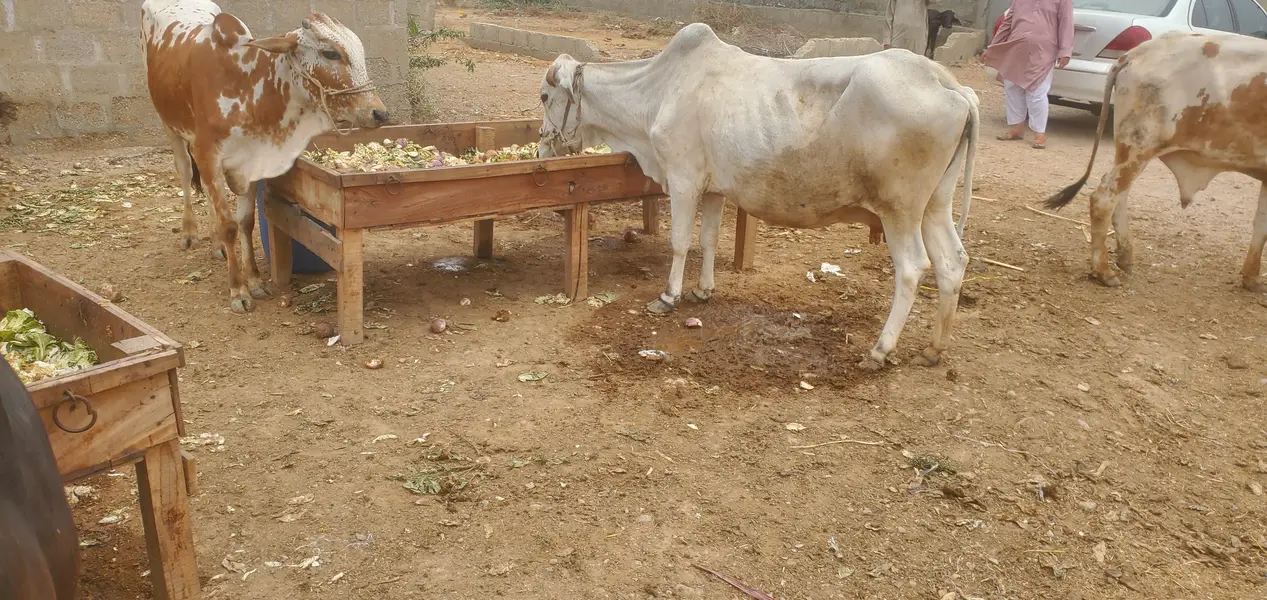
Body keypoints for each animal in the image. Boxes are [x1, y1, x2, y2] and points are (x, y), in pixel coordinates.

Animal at [141, 0, 388, 313]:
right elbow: (229, 225)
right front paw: (238, 290)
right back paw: (189, 234)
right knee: (185, 173)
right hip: (170, 126)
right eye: (330, 53)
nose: (378, 113)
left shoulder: (250, 163)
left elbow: (245, 223)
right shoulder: (208, 155)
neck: (248, 87)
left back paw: (216, 245)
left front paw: (255, 281)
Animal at [537, 23, 980, 369]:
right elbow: (707, 240)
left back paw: (880, 350)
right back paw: (933, 349)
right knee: (952, 262)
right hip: (935, 205)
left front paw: (668, 296)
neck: (658, 92)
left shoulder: (682, 179)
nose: (541, 147)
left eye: (544, 97)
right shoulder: (712, 189)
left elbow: (680, 242)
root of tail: (951, 85)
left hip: (900, 209)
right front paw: (703, 290)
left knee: (912, 268)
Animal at [1044, 31, 1267, 293]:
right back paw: (1103, 271)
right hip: (1140, 148)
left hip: (1129, 151)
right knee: (1104, 198)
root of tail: (1135, 53)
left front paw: (1252, 278)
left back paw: (1124, 256)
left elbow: (1261, 223)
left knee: (1119, 196)